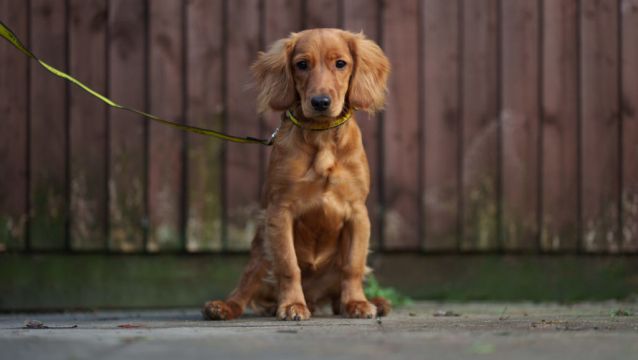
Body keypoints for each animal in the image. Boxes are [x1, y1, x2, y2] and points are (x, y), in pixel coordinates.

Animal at [205, 28, 392, 320]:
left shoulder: (357, 213)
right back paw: (224, 307)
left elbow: (353, 266)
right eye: (302, 64)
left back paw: (372, 302)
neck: (322, 136)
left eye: (341, 63)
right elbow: (288, 265)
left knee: (339, 292)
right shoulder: (280, 211)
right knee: (246, 287)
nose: (320, 102)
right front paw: (292, 304)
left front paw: (357, 303)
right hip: (261, 253)